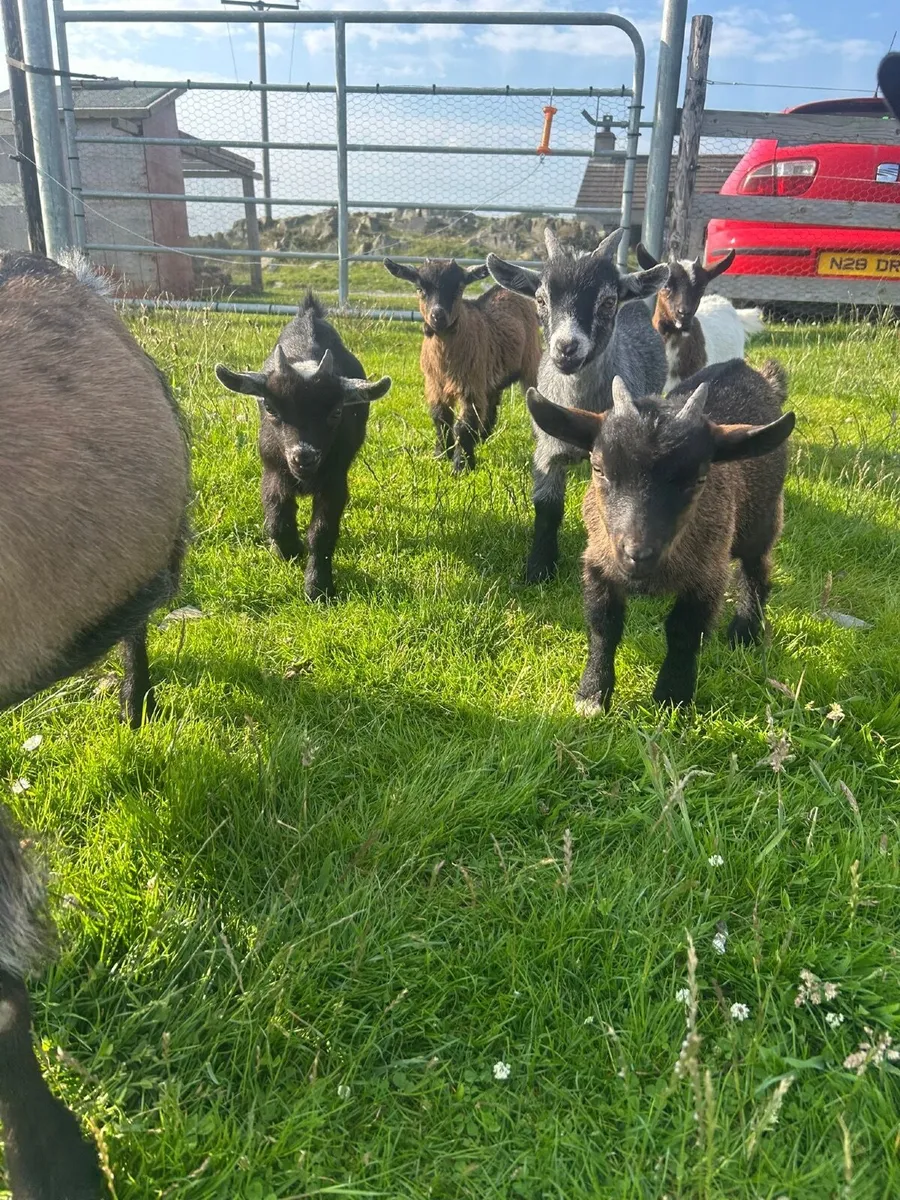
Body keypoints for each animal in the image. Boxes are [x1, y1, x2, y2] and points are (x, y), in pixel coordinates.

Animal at [215, 292, 391, 601]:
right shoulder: (273, 469)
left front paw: (318, 588)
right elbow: (277, 519)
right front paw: (289, 550)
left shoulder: (335, 481)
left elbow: (321, 532)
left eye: (336, 412)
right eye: (270, 408)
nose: (304, 458)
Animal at [382, 257, 541, 473]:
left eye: (458, 288)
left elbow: (464, 425)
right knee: (492, 400)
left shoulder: (470, 386)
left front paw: (461, 466)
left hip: (531, 360)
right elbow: (440, 418)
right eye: (420, 288)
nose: (438, 316)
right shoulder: (434, 385)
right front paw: (440, 454)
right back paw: (483, 436)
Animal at [487, 227, 669, 583]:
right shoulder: (547, 450)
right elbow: (547, 506)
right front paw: (539, 568)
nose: (566, 347)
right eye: (541, 299)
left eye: (608, 301)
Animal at [526, 358, 795, 711]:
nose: (637, 554)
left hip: (763, 518)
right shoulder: (598, 564)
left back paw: (745, 630)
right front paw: (592, 694)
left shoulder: (708, 575)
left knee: (757, 569)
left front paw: (672, 696)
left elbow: (684, 633)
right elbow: (602, 627)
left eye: (698, 478)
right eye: (599, 469)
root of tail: (749, 368)